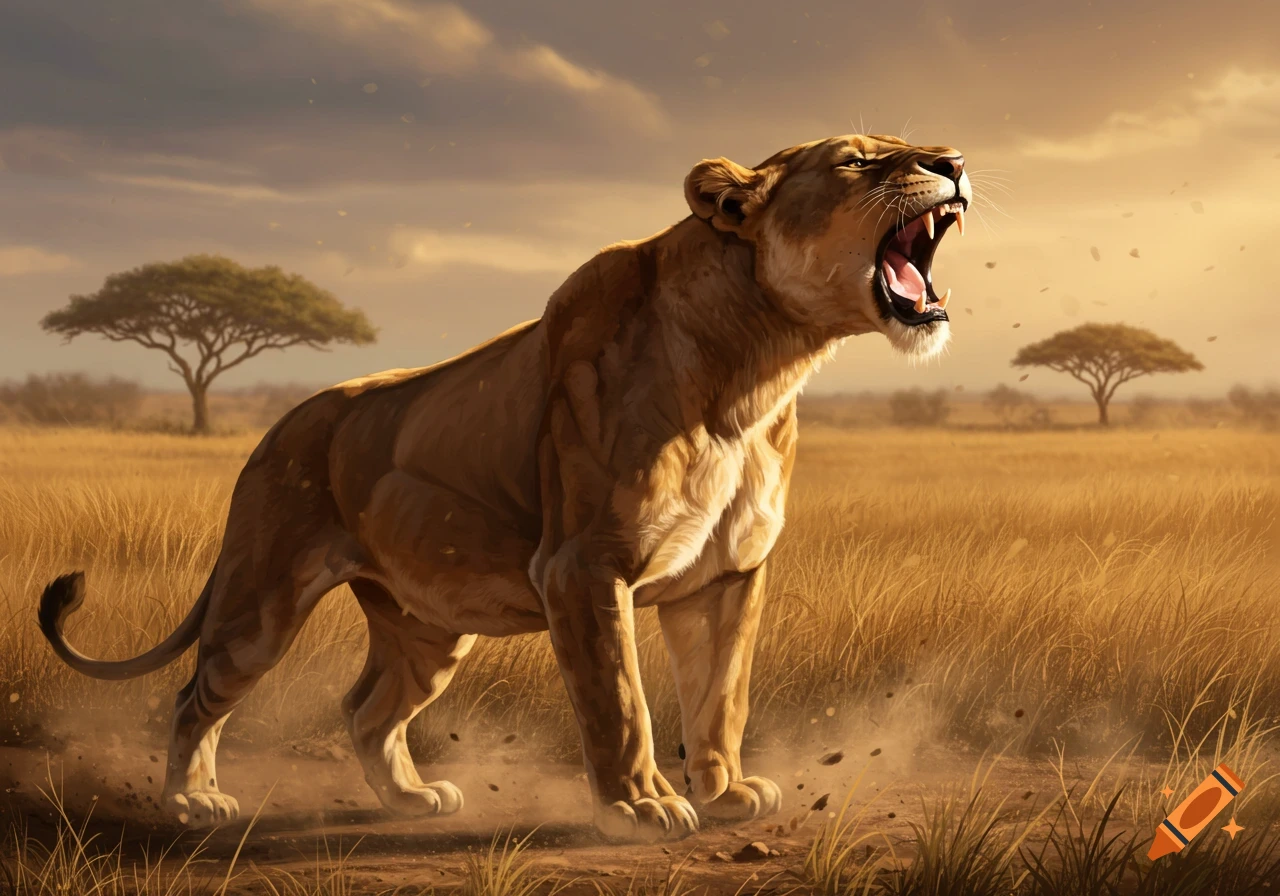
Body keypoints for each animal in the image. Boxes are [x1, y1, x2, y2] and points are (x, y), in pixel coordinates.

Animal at [39, 133, 970, 842]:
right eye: (856, 161)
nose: (957, 161)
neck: (757, 367)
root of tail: (276, 428)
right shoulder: (583, 569)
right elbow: (620, 701)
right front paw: (641, 808)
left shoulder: (728, 576)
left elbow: (721, 698)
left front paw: (727, 793)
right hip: (261, 599)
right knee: (196, 694)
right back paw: (192, 800)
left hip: (427, 626)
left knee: (367, 708)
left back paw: (411, 799)